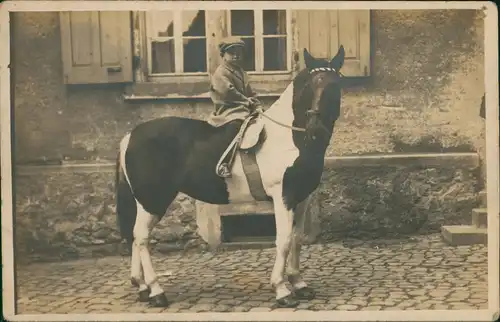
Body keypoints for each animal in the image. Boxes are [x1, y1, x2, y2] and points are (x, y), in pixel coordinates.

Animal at [115, 44, 346, 308]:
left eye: (335, 84)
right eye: (310, 84)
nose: (316, 128)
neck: (290, 138)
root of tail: (130, 135)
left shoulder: (302, 198)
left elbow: (297, 239)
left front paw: (299, 284)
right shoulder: (283, 197)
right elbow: (284, 240)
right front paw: (282, 289)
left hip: (148, 202)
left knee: (135, 236)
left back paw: (141, 286)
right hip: (152, 200)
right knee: (142, 238)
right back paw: (156, 291)